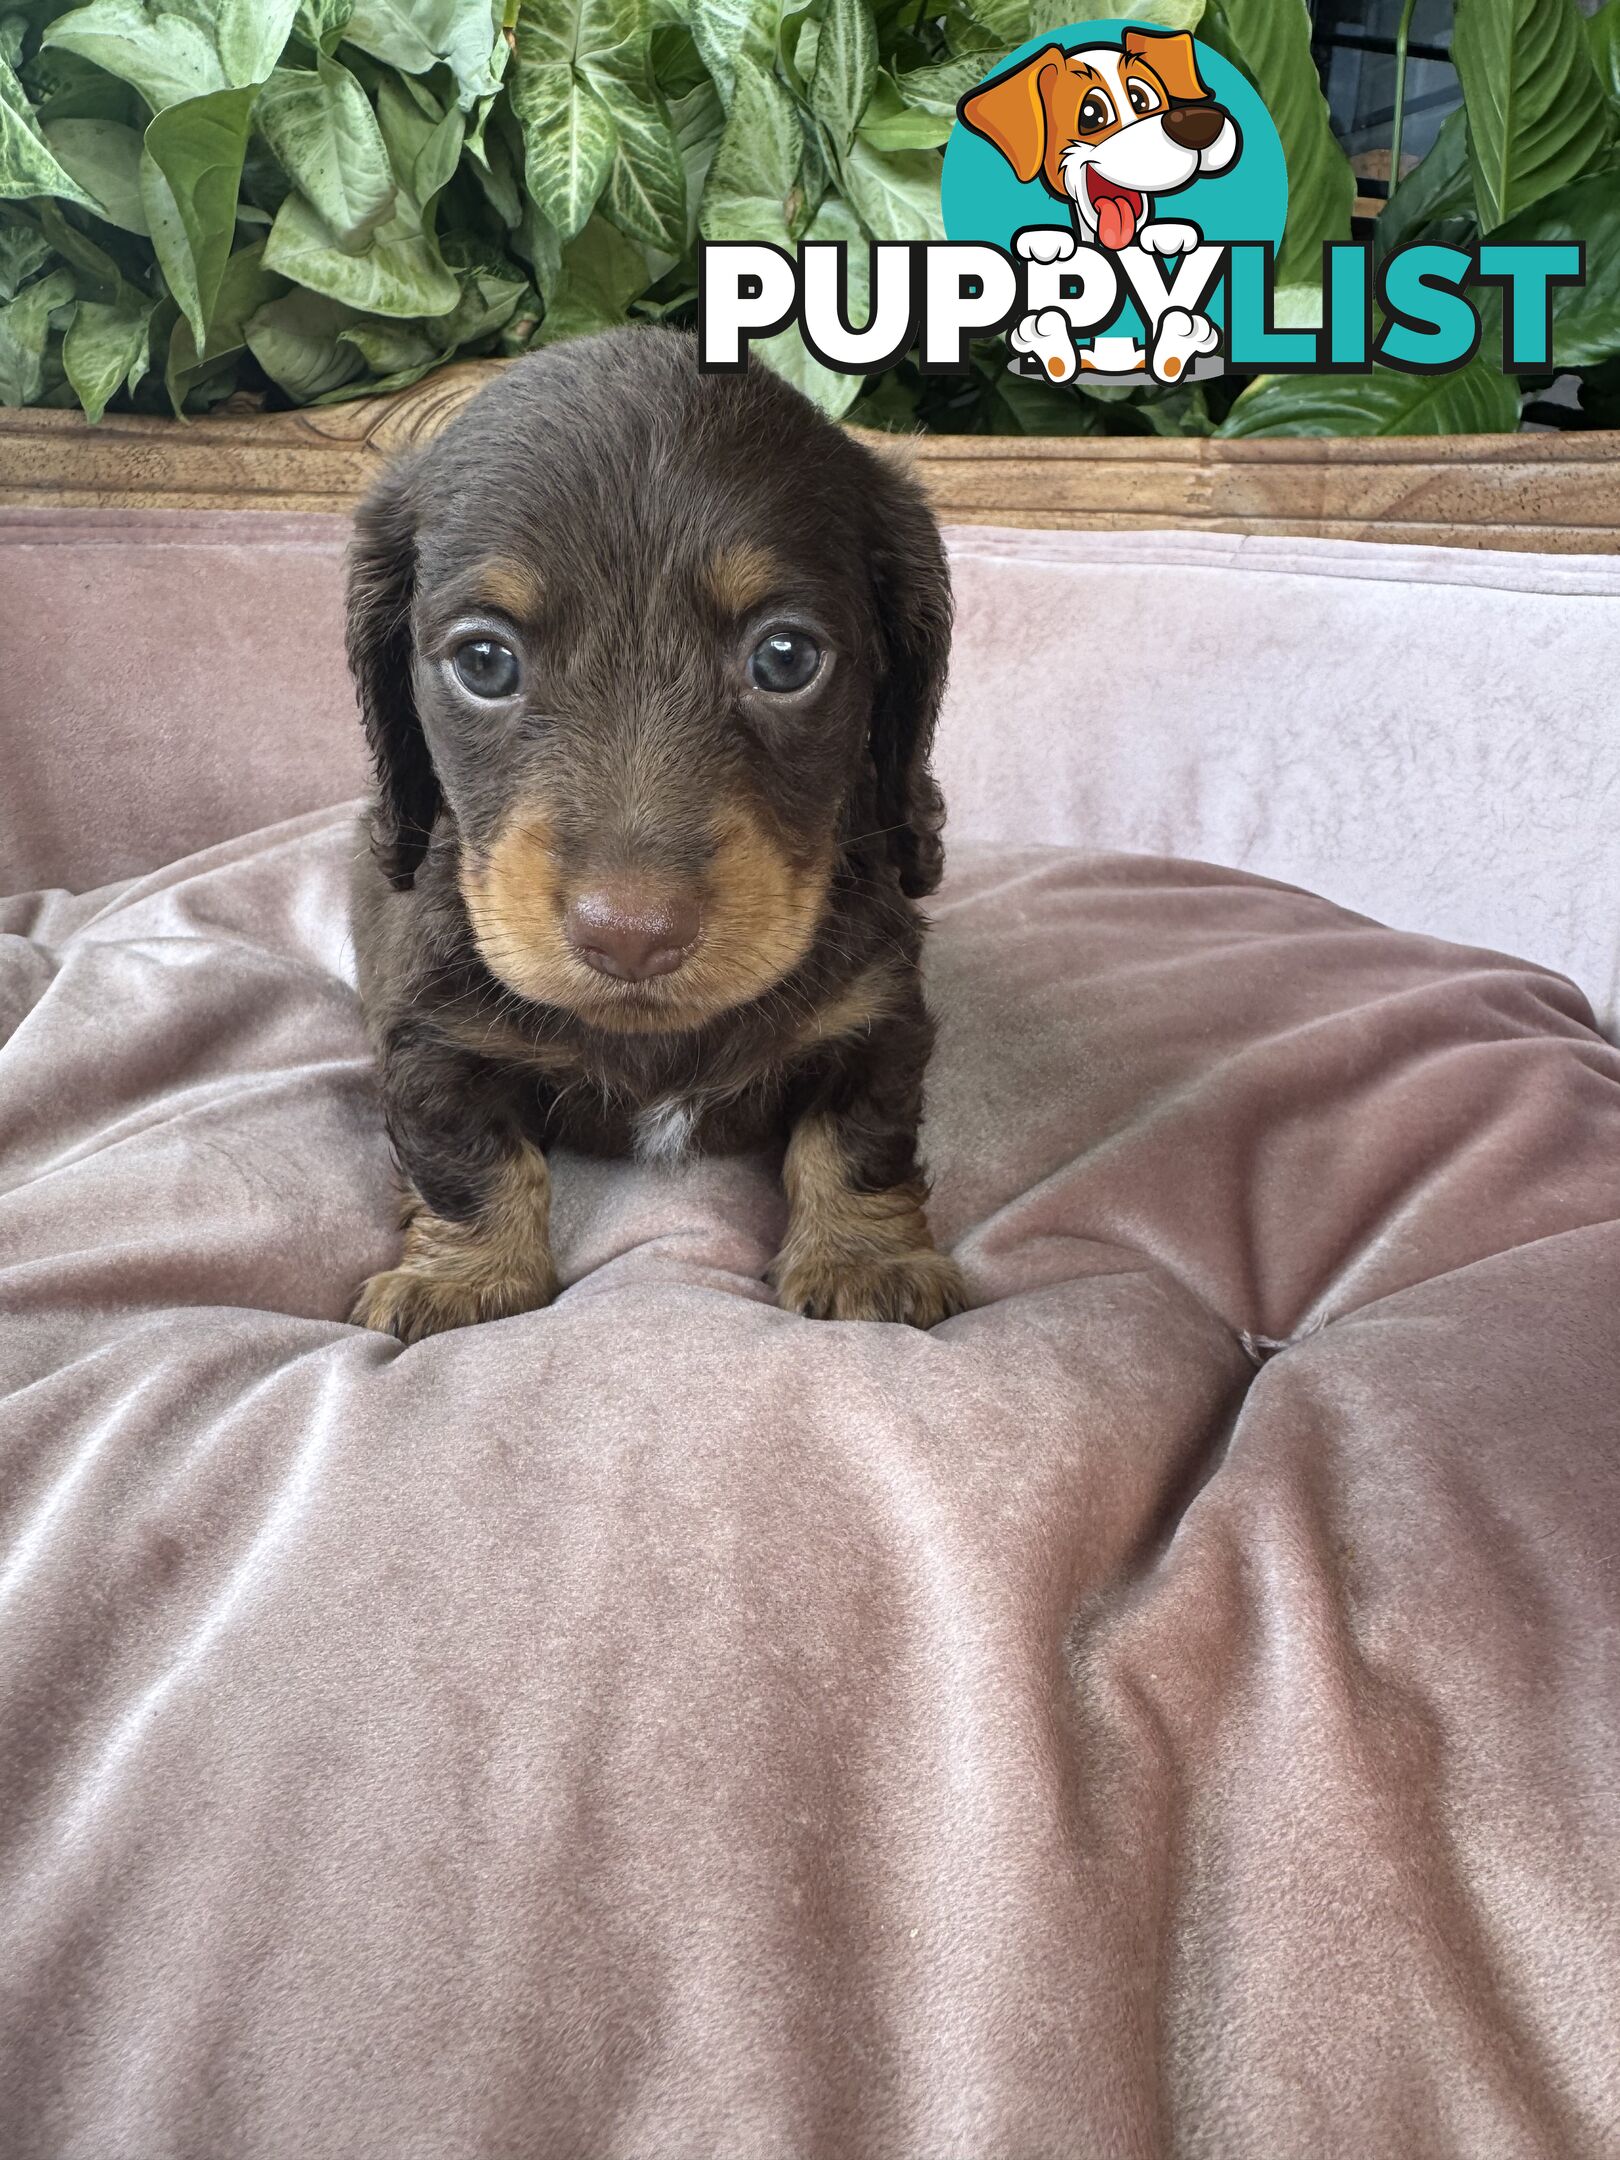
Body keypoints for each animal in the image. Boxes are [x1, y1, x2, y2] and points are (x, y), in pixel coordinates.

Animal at [347, 324, 972, 1330]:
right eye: (484, 661)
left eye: (786, 656)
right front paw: (465, 1279)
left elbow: (858, 1134)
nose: (631, 937)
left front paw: (866, 1262)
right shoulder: (428, 1035)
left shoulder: (880, 1012)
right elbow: (468, 1154)